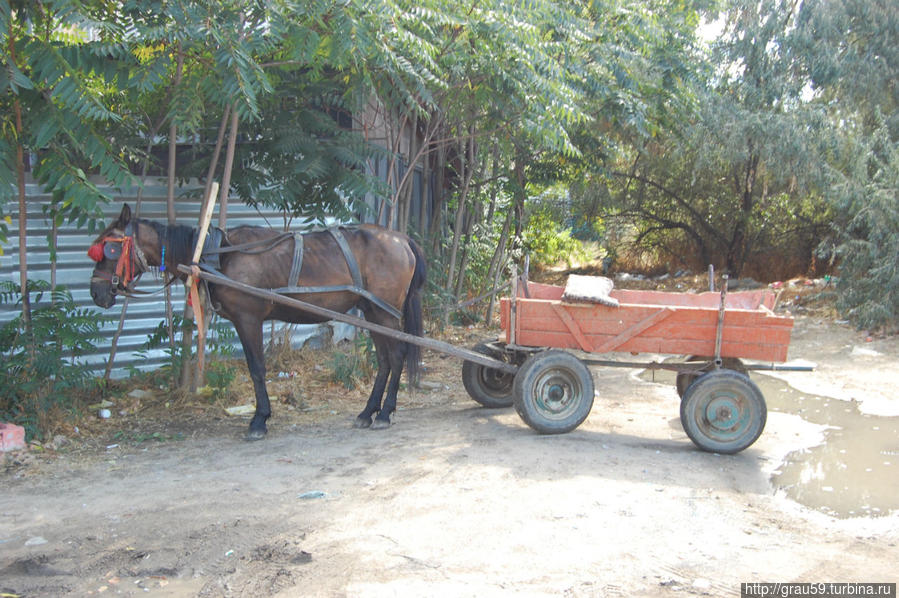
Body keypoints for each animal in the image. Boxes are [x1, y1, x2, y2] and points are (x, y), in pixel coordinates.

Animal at [89, 205, 428, 440]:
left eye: (111, 248)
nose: (96, 292)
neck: (217, 255)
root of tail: (401, 239)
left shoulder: (248, 318)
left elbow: (256, 368)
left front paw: (259, 419)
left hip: (385, 312)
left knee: (397, 356)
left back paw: (384, 412)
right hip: (373, 311)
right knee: (384, 360)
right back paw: (368, 411)